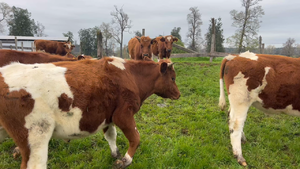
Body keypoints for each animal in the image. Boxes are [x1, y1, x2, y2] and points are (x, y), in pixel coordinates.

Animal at [0, 56, 179, 168]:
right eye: (173, 78)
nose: (178, 94)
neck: (130, 75)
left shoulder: (108, 116)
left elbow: (111, 136)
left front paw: (115, 153)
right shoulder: (123, 114)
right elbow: (135, 137)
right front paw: (125, 160)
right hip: (36, 135)